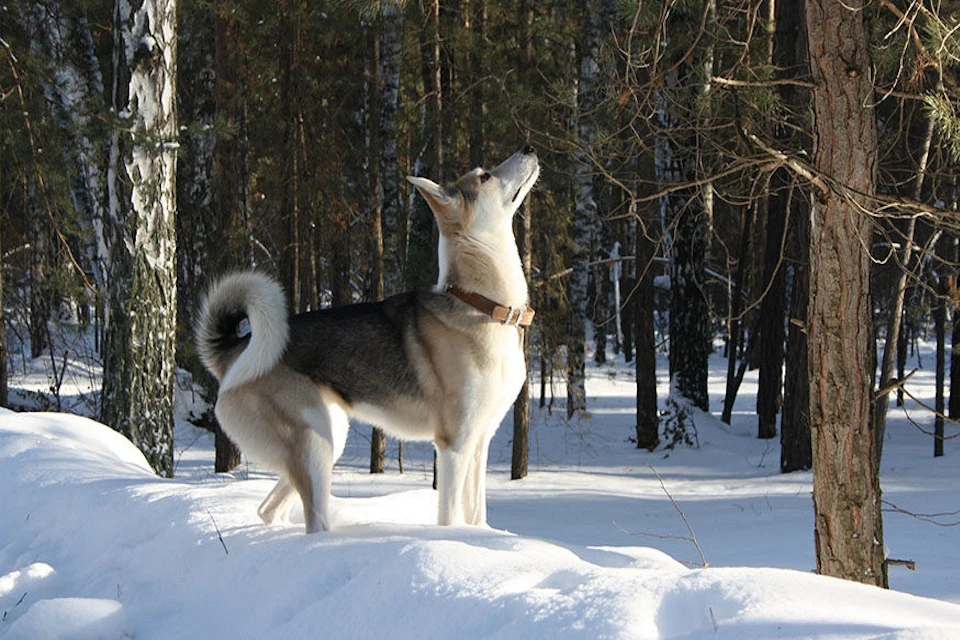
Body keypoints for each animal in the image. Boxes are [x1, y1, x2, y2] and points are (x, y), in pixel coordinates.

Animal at [195, 148, 540, 532]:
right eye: (484, 176)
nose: (528, 148)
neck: (481, 305)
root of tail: (236, 350)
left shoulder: (479, 443)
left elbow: (476, 515)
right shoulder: (454, 446)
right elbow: (450, 518)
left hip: (331, 436)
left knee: (269, 509)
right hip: (315, 443)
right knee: (313, 520)